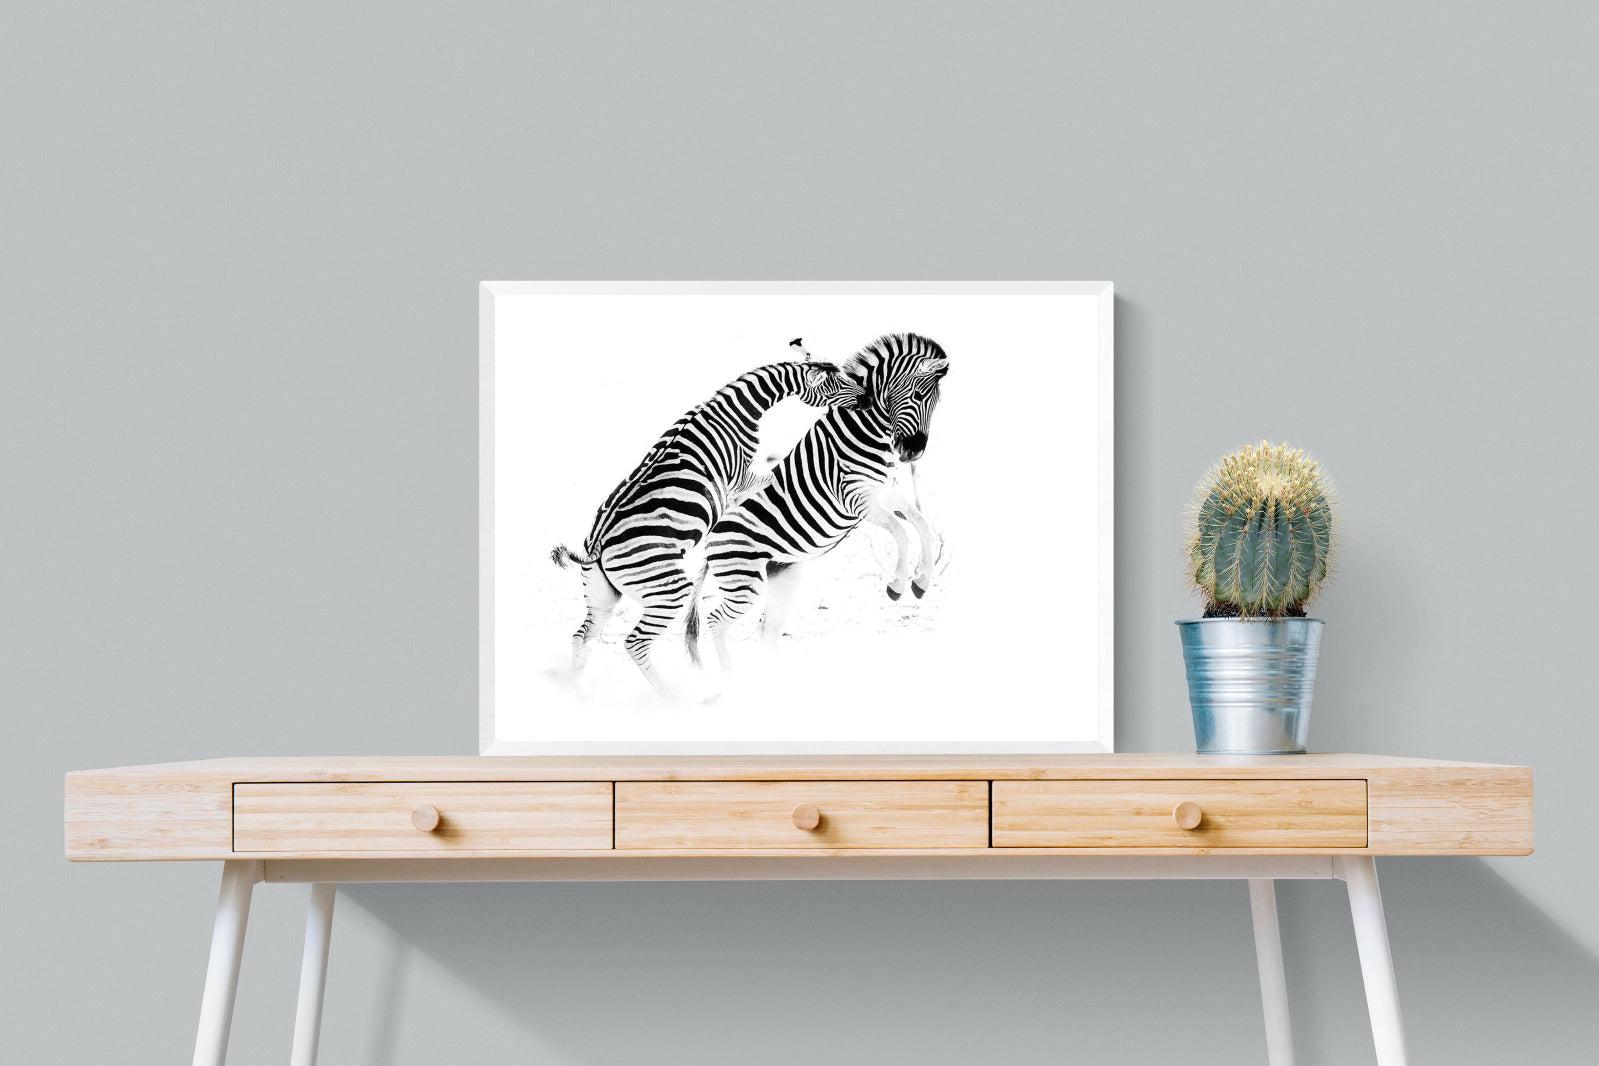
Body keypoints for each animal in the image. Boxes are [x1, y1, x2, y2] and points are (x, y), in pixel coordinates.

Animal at [550, 356, 862, 693]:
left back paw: (577, 690)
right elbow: (770, 477)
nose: (867, 398)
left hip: (602, 597)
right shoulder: (738, 482)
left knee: (582, 637)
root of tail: (597, 545)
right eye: (838, 384)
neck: (737, 412)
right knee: (635, 642)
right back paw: (670, 693)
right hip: (669, 590)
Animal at [685, 333, 950, 669]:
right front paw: (897, 585)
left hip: (783, 576)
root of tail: (709, 540)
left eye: (936, 402)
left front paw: (921, 581)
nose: (914, 452)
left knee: (766, 631)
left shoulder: (883, 492)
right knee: (716, 621)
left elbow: (921, 524)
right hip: (744, 579)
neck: (862, 431)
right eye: (918, 394)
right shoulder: (855, 497)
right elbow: (902, 532)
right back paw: (730, 675)